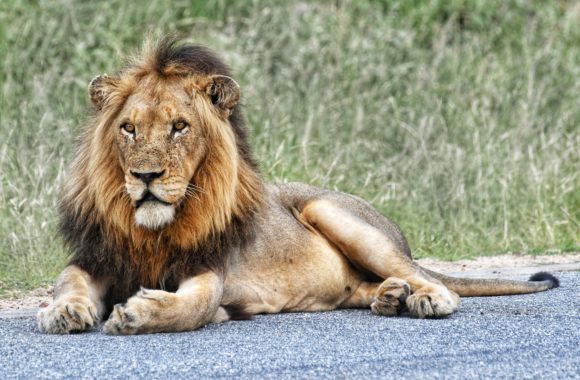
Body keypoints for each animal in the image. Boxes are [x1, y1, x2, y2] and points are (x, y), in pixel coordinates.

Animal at [38, 39, 560, 336]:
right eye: (128, 129)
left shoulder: (209, 269)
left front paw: (138, 313)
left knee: (430, 278)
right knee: (365, 286)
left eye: (179, 127)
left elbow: (195, 306)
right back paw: (390, 297)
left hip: (333, 213)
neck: (151, 231)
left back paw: (425, 298)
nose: (145, 177)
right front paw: (63, 311)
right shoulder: (95, 257)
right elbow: (69, 282)